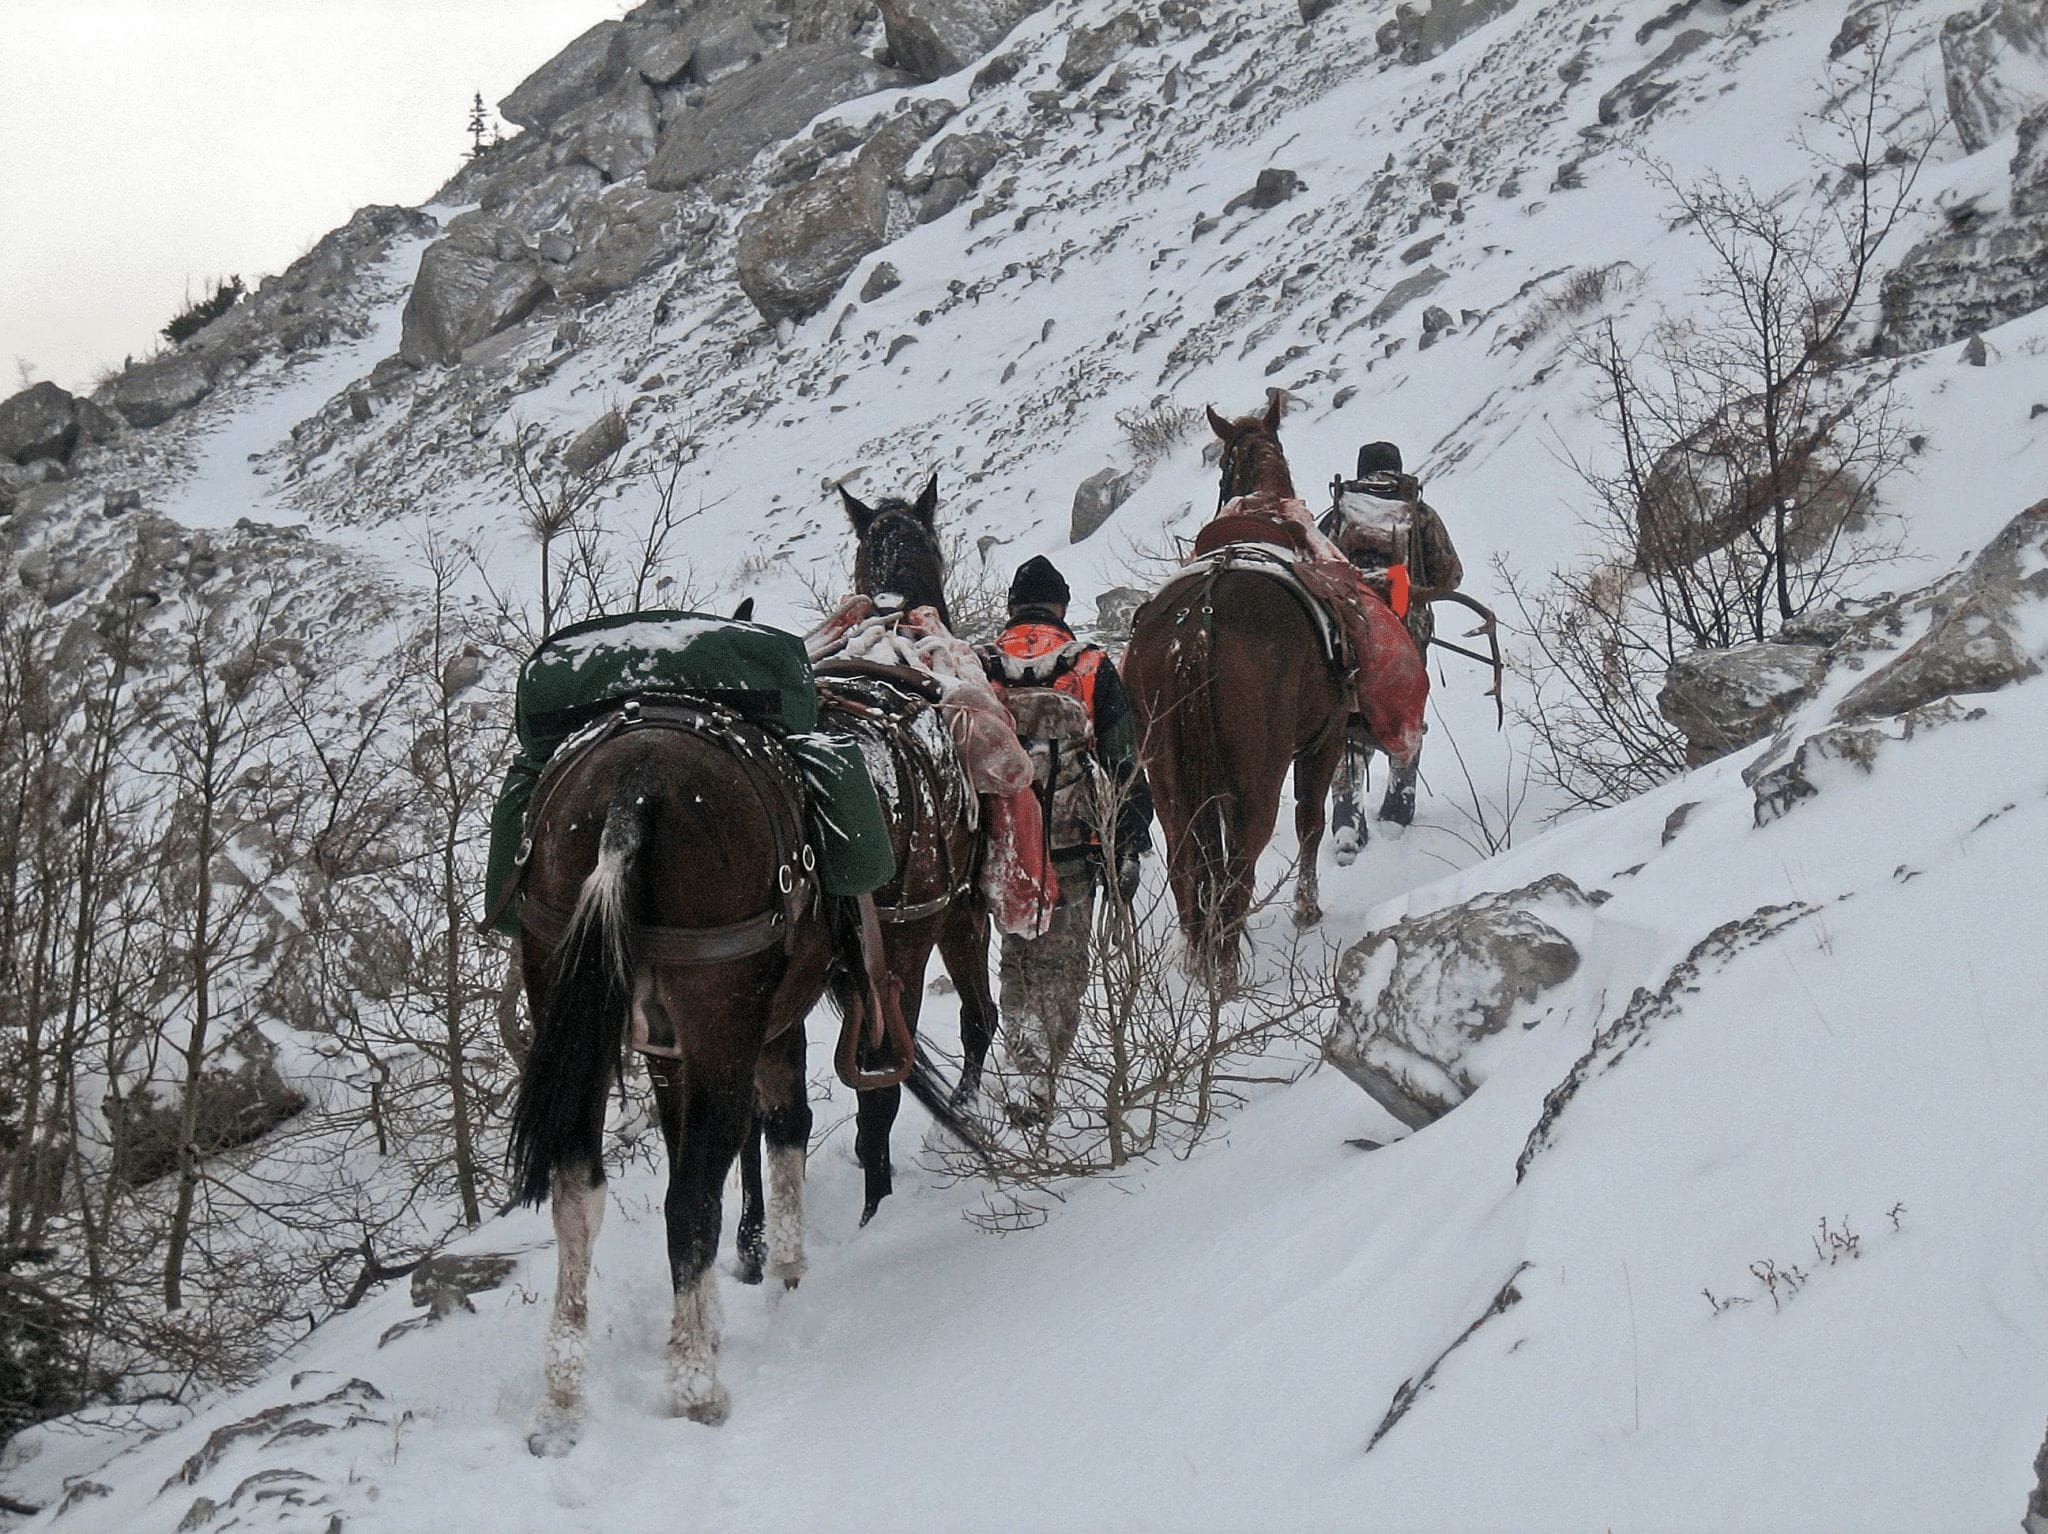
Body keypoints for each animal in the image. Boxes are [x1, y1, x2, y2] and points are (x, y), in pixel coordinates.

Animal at [1122, 395, 1359, 983]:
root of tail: (1196, 632)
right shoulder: (1324, 739)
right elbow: (1311, 821)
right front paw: (1306, 908)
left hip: (1167, 778)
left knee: (1188, 864)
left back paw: (1198, 958)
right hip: (1260, 774)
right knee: (1239, 869)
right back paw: (1225, 973)